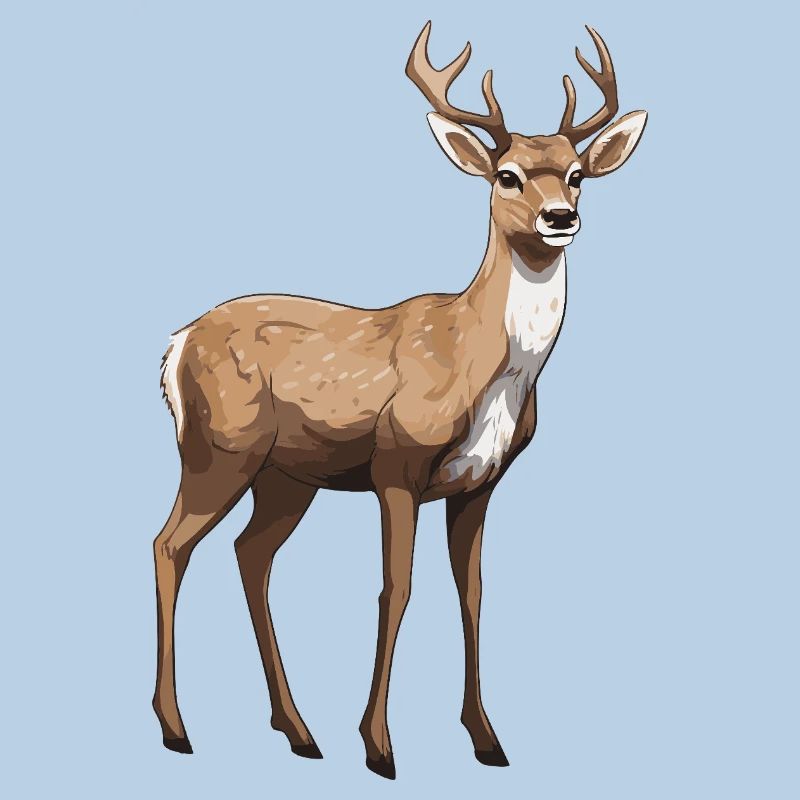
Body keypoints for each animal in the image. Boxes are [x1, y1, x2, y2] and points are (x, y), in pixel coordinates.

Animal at [152, 21, 647, 780]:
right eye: (506, 175)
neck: (477, 360)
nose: (561, 217)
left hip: (286, 476)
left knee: (250, 555)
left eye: (577, 173)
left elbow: (472, 593)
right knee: (169, 545)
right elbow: (397, 589)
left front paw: (487, 739)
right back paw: (177, 728)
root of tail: (174, 345)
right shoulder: (397, 464)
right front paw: (379, 746)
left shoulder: (480, 482)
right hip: (218, 448)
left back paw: (298, 731)